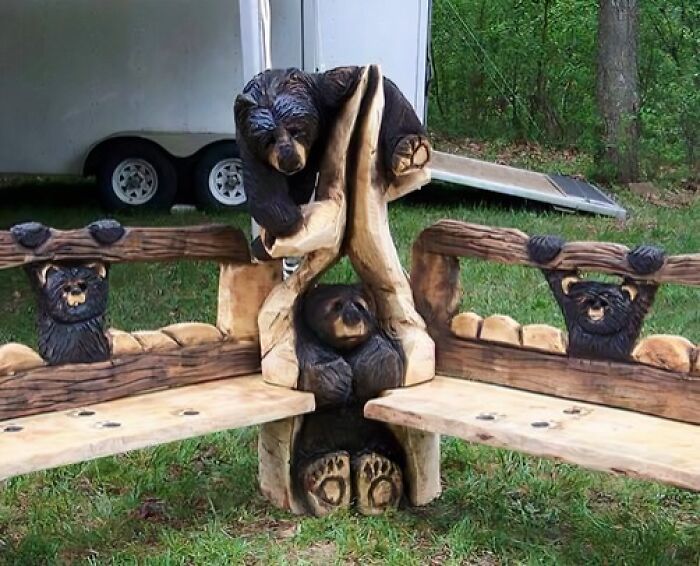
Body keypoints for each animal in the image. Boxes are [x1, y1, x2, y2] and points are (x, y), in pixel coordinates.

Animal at [234, 66, 431, 244]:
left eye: (295, 130)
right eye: (269, 140)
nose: (290, 161)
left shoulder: (329, 92)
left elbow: (382, 87)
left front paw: (408, 148)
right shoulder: (248, 141)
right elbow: (262, 184)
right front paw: (288, 220)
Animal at [291, 283, 406, 516]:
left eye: (360, 306)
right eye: (336, 305)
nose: (352, 318)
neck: (344, 347)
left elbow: (388, 361)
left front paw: (370, 363)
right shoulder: (306, 340)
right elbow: (312, 370)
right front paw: (335, 376)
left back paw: (379, 469)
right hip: (315, 440)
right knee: (307, 459)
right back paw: (326, 470)